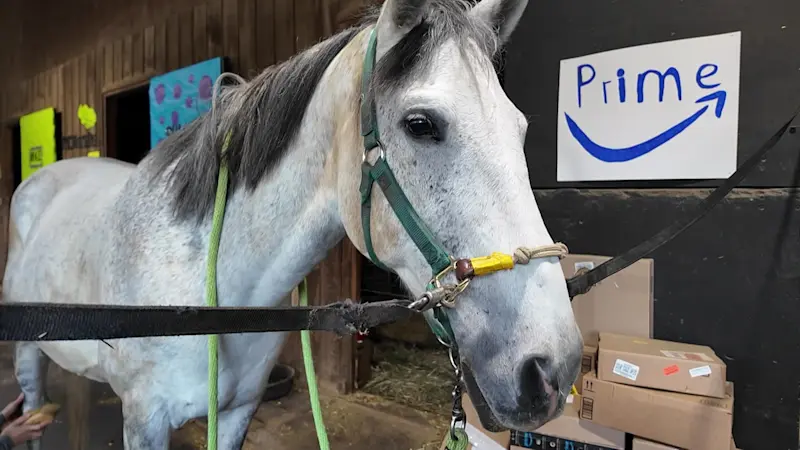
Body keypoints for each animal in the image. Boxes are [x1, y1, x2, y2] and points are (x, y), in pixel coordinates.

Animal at [2, 0, 584, 448]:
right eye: (421, 124)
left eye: (519, 128)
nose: (553, 367)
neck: (205, 301)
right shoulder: (144, 420)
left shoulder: (237, 413)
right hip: (30, 350)